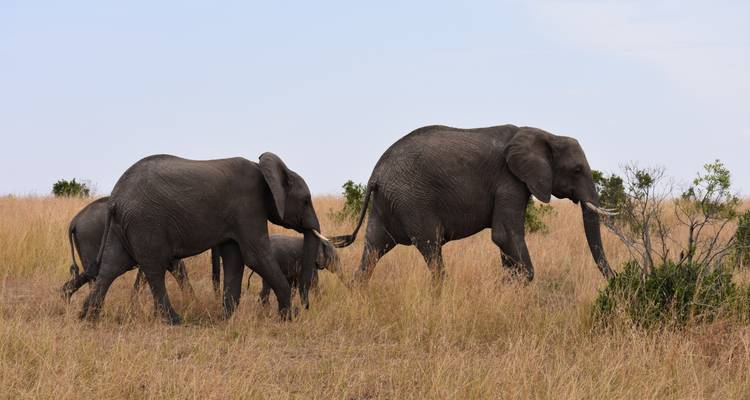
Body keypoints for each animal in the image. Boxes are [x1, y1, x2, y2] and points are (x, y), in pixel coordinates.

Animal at [79, 153, 328, 324]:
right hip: (145, 222)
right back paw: (174, 321)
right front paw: (290, 316)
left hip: (122, 225)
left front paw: (225, 318)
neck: (265, 170)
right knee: (154, 268)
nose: (306, 307)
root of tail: (115, 198)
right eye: (306, 200)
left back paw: (87, 317)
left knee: (112, 267)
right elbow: (256, 256)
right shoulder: (248, 206)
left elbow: (235, 258)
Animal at [330, 124, 616, 284]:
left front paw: (508, 286)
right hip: (412, 200)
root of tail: (375, 175)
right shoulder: (508, 180)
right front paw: (517, 285)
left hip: (385, 204)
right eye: (577, 170)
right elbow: (505, 235)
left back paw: (357, 291)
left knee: (373, 248)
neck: (545, 134)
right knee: (431, 247)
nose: (615, 281)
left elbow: (505, 242)